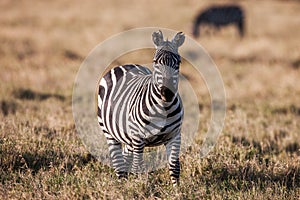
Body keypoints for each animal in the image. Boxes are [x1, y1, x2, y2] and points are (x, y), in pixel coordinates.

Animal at [97, 30, 185, 186]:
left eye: (178, 62)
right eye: (155, 62)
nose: (167, 93)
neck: (163, 108)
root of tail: (125, 65)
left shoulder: (175, 135)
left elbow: (174, 167)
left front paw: (177, 189)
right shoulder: (138, 137)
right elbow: (138, 165)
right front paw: (142, 186)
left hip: (127, 134)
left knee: (126, 158)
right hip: (109, 131)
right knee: (118, 161)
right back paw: (121, 185)